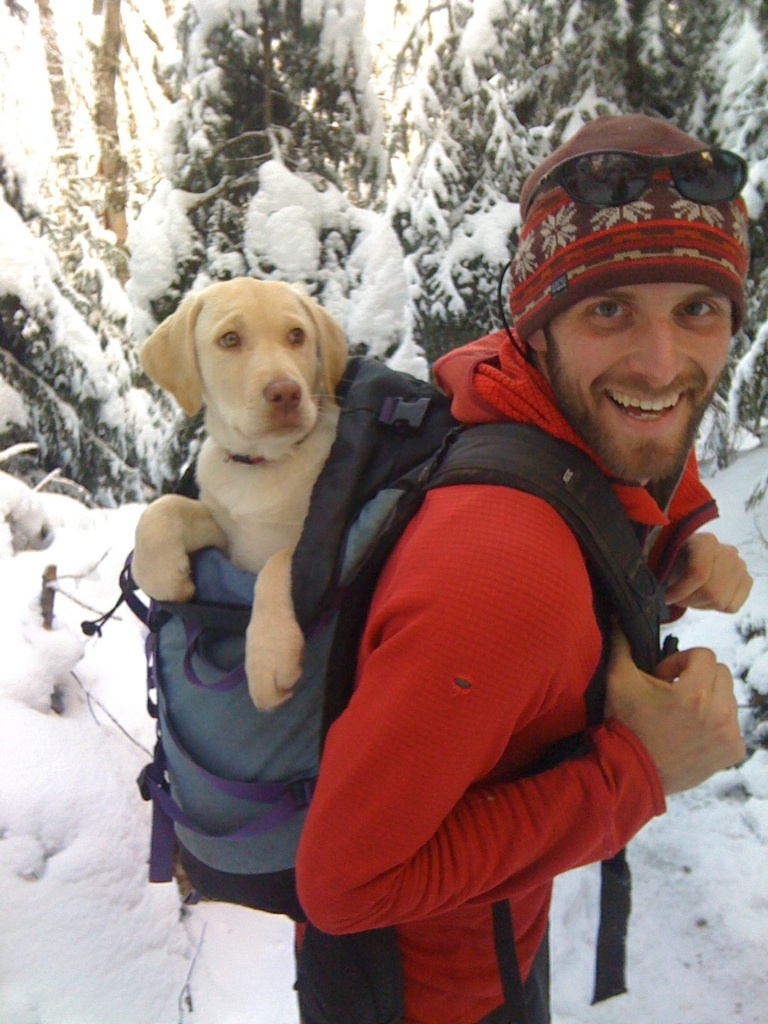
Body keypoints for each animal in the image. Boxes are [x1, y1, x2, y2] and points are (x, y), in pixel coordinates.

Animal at [133, 280, 348, 712]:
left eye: (297, 336)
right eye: (230, 339)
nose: (286, 393)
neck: (262, 462)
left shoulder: (305, 537)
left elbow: (278, 563)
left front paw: (269, 657)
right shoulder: (226, 533)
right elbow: (162, 507)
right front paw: (161, 574)